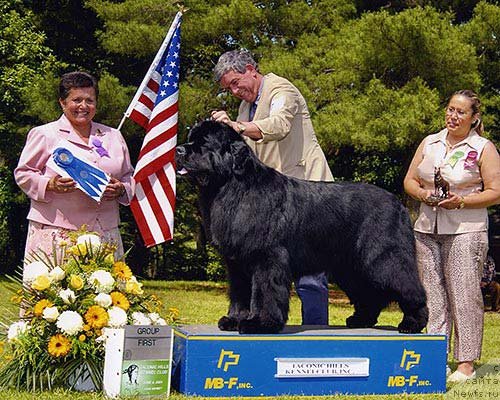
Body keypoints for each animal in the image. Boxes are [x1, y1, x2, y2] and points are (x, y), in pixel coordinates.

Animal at [176, 121, 426, 334]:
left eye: (204, 142)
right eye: (190, 139)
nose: (178, 150)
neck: (232, 186)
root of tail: (397, 203)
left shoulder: (267, 257)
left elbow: (264, 292)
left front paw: (260, 323)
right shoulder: (236, 262)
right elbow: (240, 292)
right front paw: (234, 319)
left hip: (384, 258)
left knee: (409, 286)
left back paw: (412, 323)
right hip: (350, 267)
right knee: (369, 294)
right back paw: (361, 320)